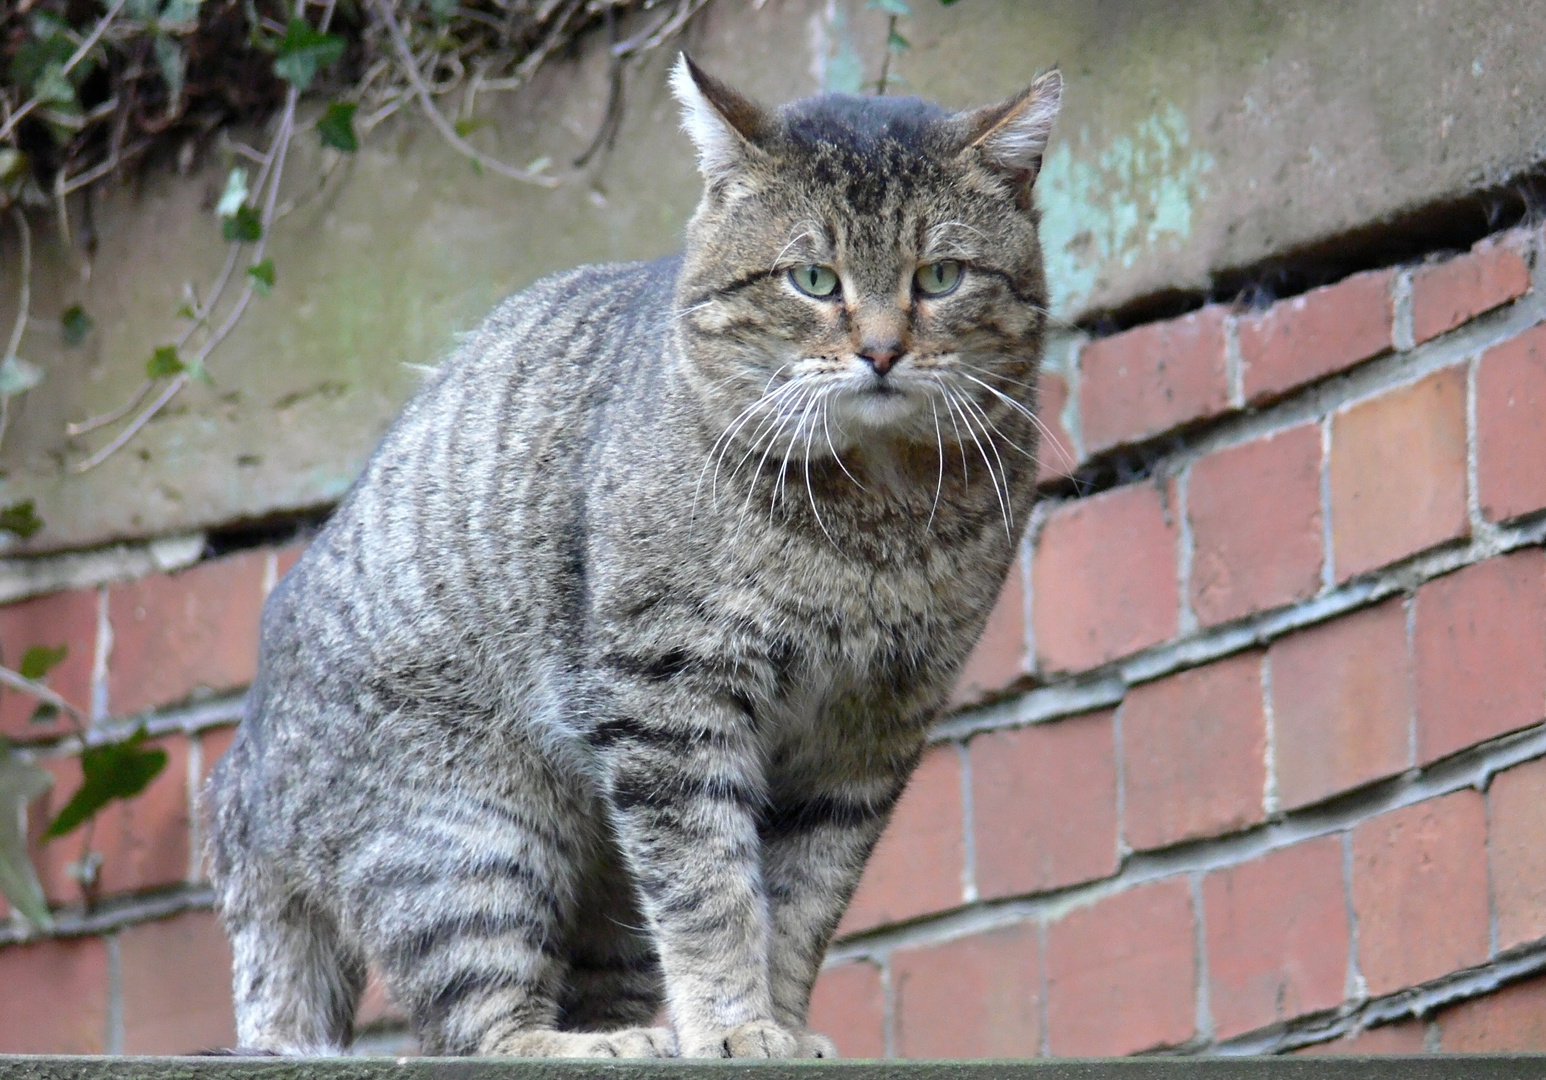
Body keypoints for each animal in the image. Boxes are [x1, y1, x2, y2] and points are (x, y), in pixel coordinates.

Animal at [208, 54, 1063, 1063]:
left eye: (942, 275)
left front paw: (780, 1022)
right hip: (464, 832)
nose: (883, 350)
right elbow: (709, 890)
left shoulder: (868, 731)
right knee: (474, 1025)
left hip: (595, 893)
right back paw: (588, 1045)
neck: (873, 522)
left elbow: (803, 899)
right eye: (814, 278)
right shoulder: (670, 696)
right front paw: (735, 1027)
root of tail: (239, 783)